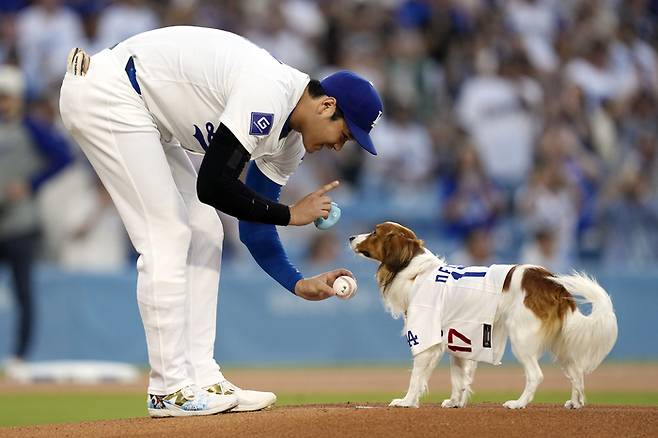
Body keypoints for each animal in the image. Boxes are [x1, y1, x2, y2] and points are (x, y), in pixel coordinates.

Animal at [348, 222, 616, 410]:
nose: (350, 237)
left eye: (374, 232)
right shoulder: (457, 338)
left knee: (535, 375)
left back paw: (519, 404)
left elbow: (416, 377)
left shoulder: (425, 338)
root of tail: (549, 281)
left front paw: (407, 401)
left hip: (521, 340)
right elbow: (459, 377)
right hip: (561, 345)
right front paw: (455, 402)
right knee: (577, 372)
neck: (415, 271)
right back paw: (576, 403)